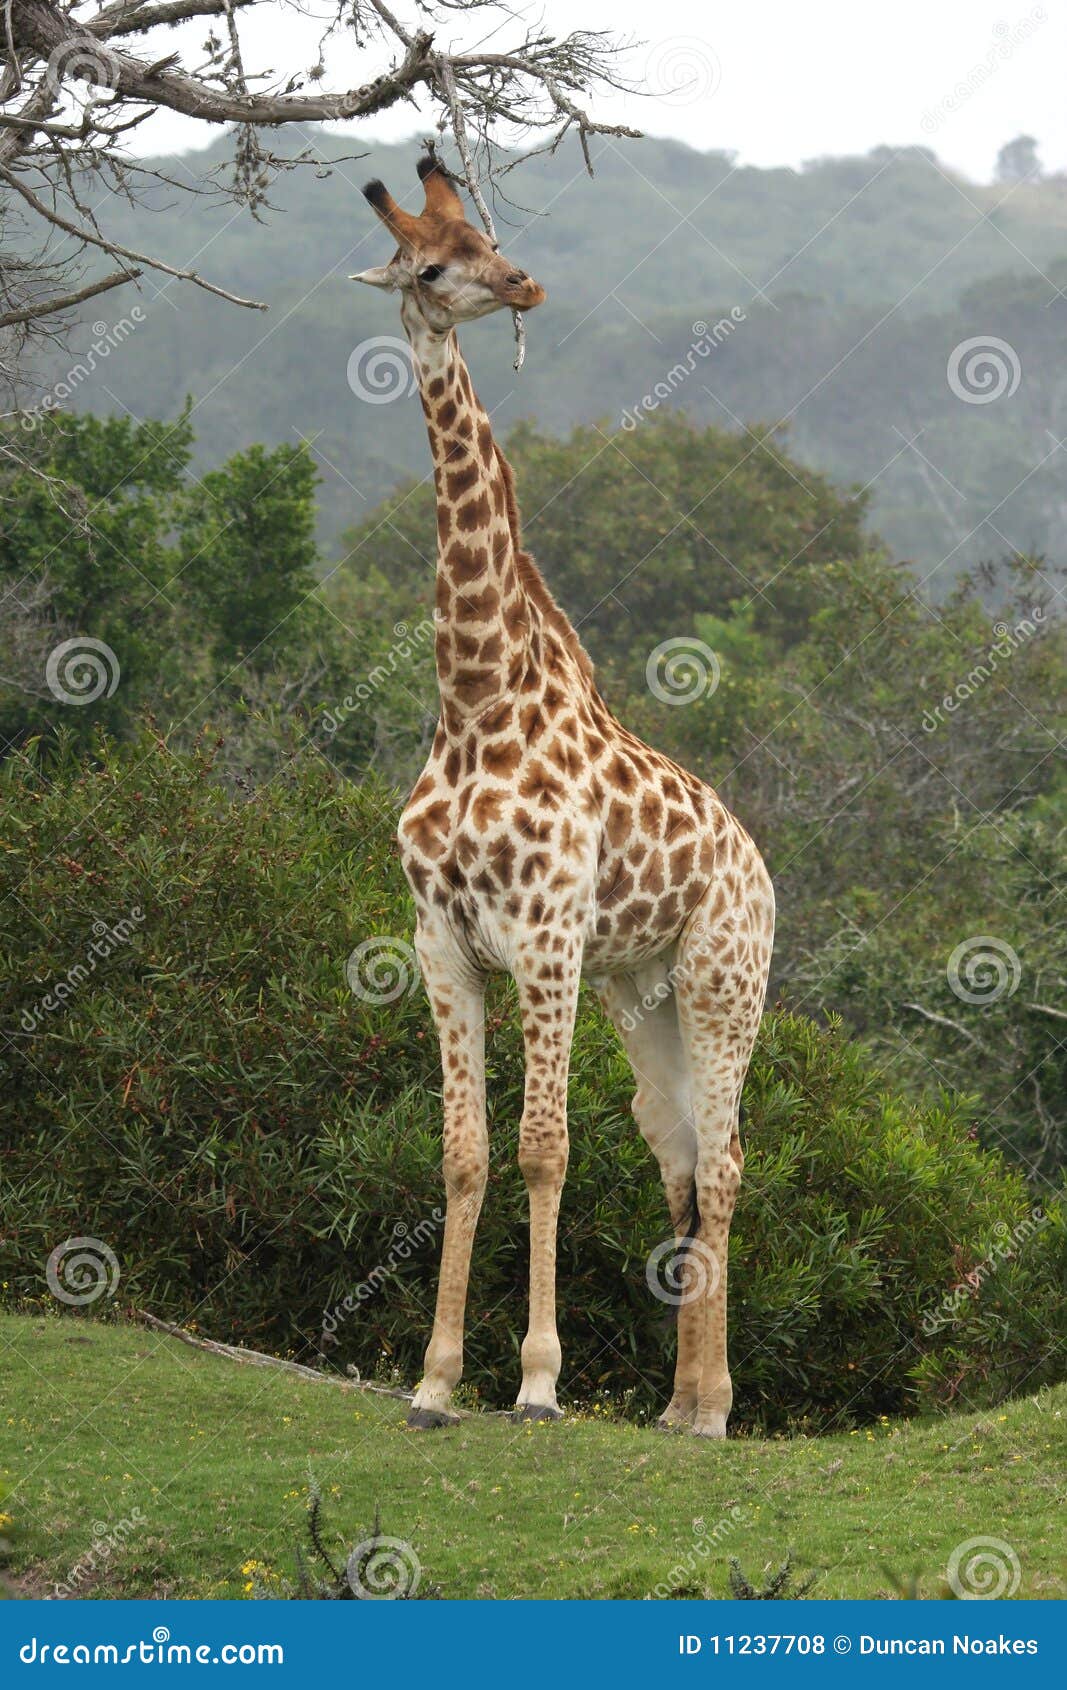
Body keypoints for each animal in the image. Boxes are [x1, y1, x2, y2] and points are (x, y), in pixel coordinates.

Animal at [351, 155, 775, 1438]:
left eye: (484, 239)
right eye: (430, 264)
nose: (522, 283)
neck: (477, 694)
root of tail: (760, 865)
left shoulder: (543, 938)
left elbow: (543, 1146)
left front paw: (536, 1383)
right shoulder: (440, 941)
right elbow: (464, 1152)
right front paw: (434, 1380)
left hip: (722, 977)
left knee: (725, 1162)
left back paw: (717, 1406)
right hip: (642, 991)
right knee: (678, 1157)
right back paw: (677, 1405)